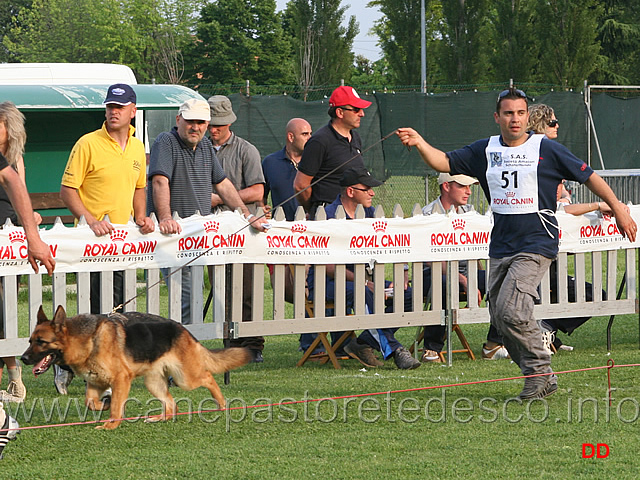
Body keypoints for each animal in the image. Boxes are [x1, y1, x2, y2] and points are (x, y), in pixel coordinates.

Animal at [20, 308, 250, 432]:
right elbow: (91, 402)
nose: (23, 359)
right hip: (154, 383)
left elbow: (115, 408)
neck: (86, 341)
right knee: (172, 405)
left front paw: (111, 425)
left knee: (208, 377)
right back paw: (158, 418)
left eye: (41, 342)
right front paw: (105, 404)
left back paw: (221, 404)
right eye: (30, 341)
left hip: (185, 378)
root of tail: (184, 330)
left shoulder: (121, 379)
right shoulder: (95, 382)